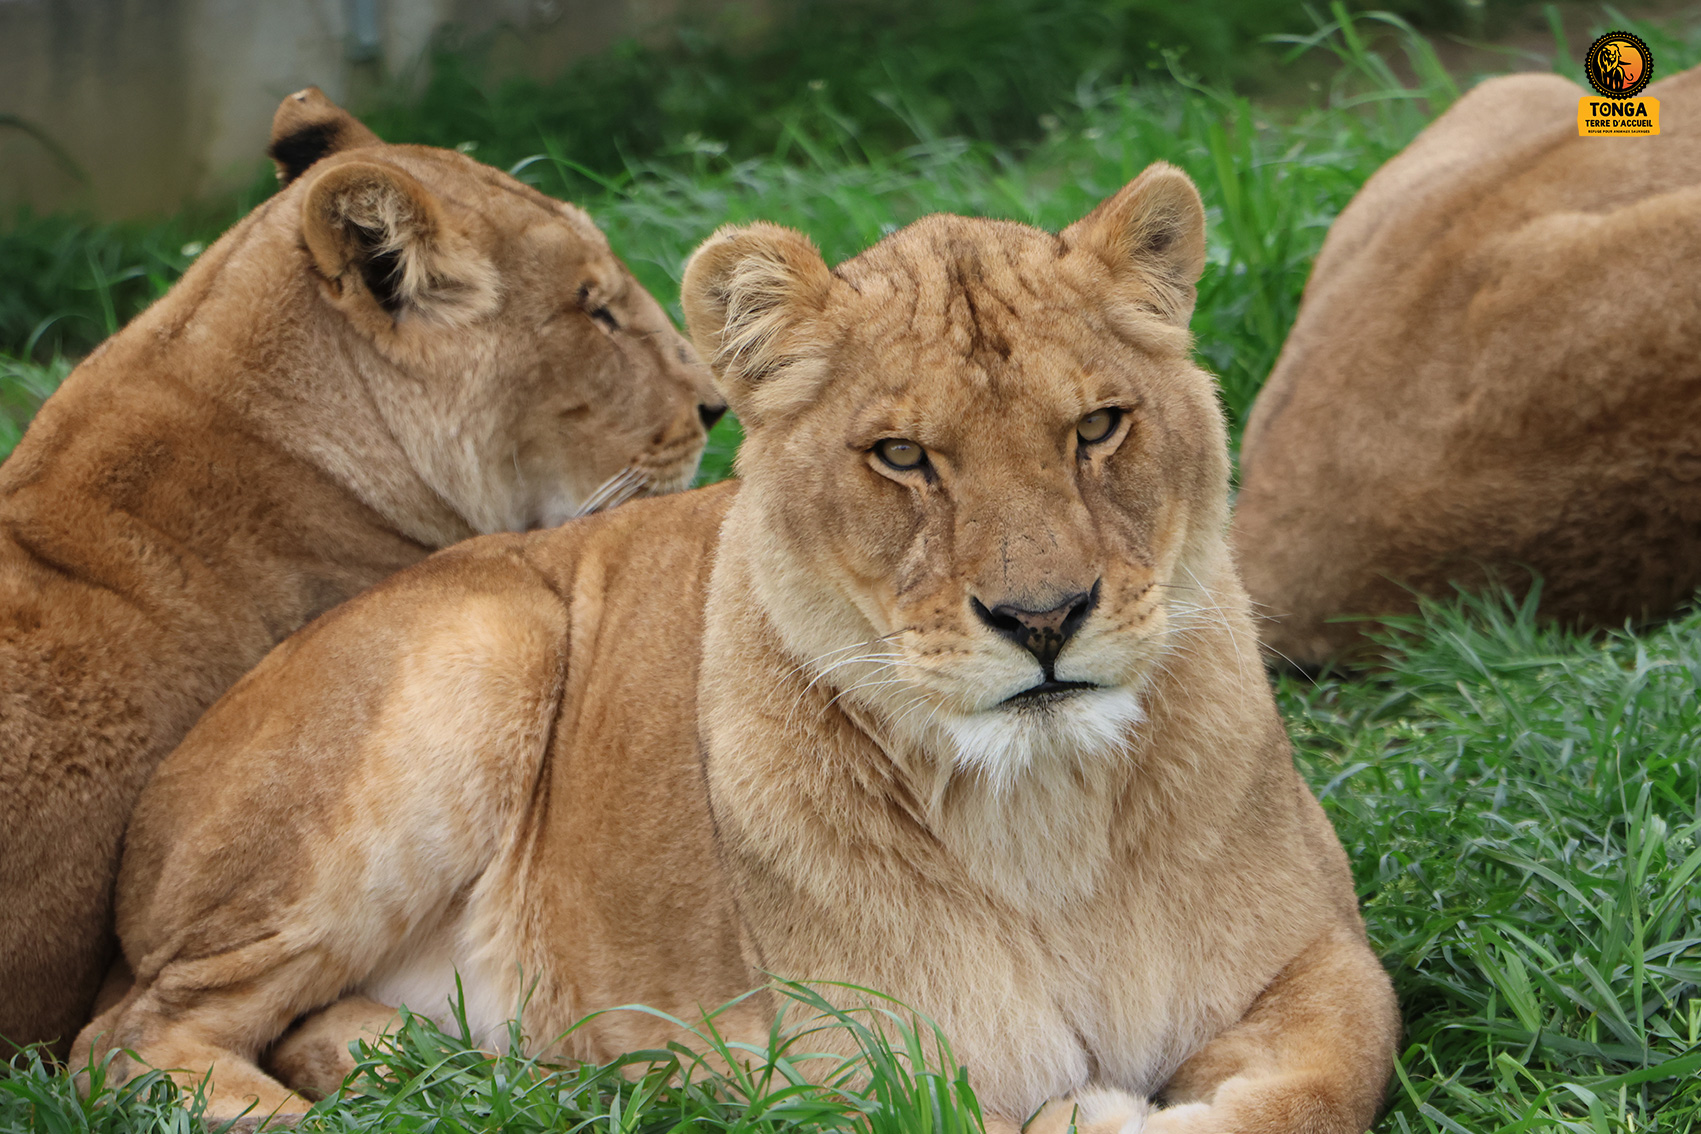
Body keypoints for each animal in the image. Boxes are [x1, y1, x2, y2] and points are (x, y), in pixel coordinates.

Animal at [76, 164, 1398, 1134]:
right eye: (903, 457)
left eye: (1099, 427)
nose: (1043, 618)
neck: (1045, 813)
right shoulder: (850, 1067)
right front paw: (1095, 1114)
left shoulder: (1324, 956)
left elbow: (1331, 1076)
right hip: (483, 647)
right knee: (121, 1038)